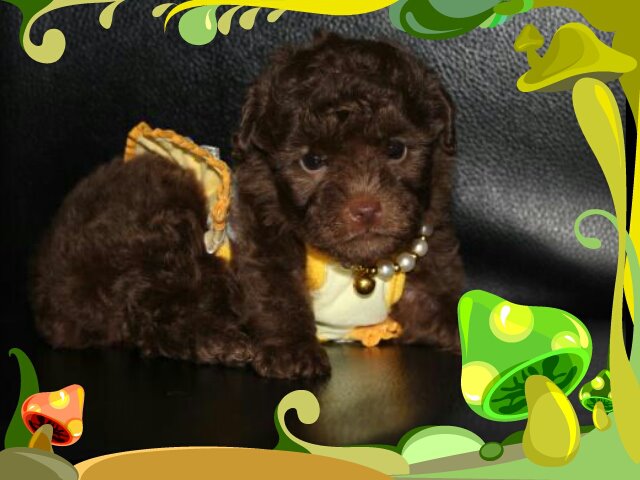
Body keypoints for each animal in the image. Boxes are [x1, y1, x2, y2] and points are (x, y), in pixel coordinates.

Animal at [31, 33, 464, 379]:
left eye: (396, 149)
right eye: (312, 161)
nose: (366, 208)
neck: (358, 267)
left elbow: (445, 306)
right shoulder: (263, 244)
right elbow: (277, 295)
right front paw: (292, 350)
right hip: (162, 214)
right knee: (153, 314)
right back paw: (219, 341)